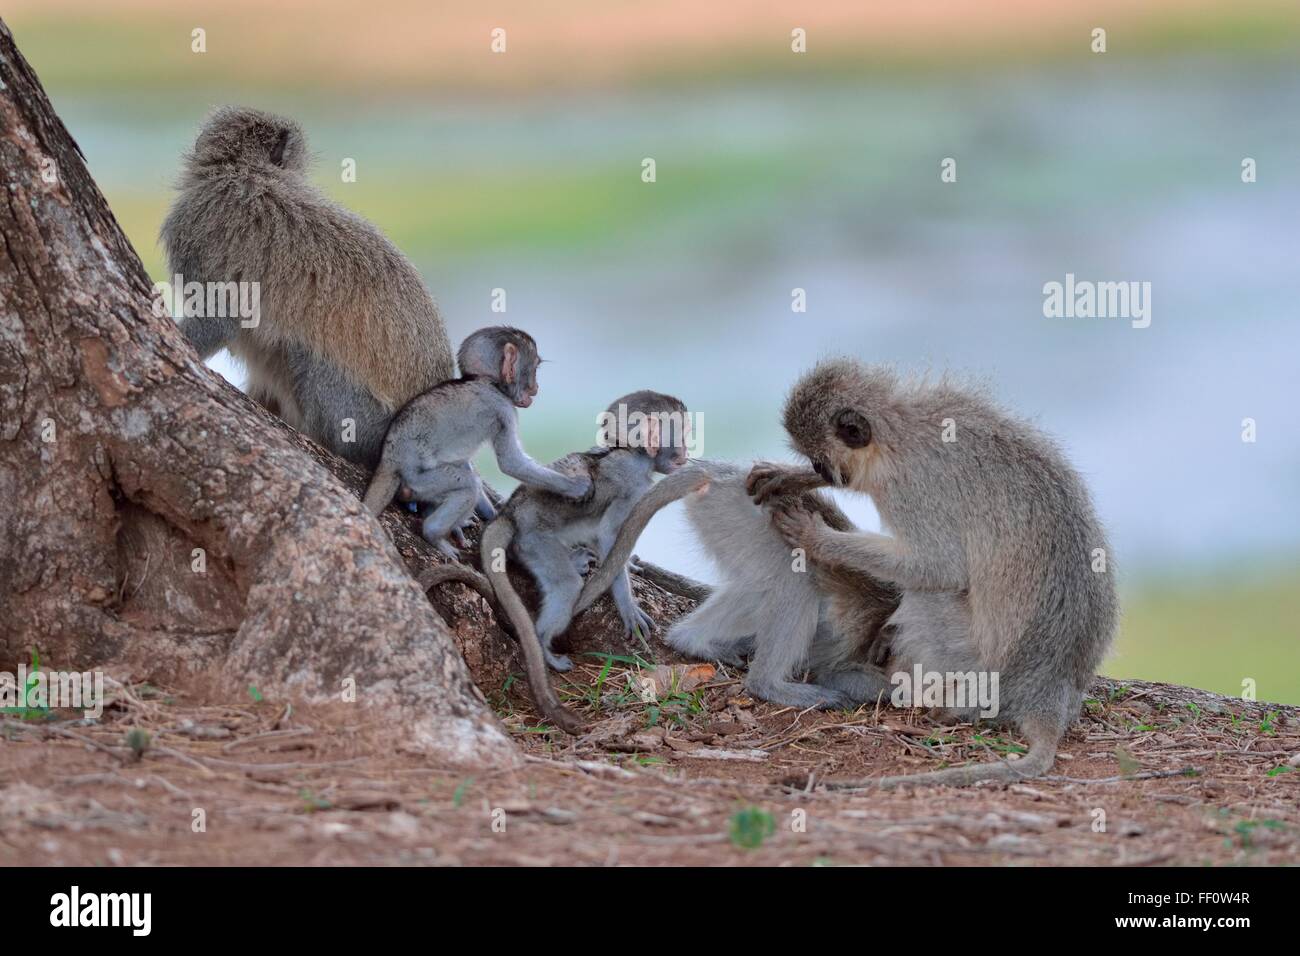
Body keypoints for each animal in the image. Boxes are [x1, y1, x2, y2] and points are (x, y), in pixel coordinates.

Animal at [361, 327, 591, 557]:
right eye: (534, 368)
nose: (536, 387)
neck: (485, 381)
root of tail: (389, 458)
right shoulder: (503, 408)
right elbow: (511, 463)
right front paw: (575, 487)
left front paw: (493, 513)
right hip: (418, 481)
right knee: (467, 484)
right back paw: (434, 534)